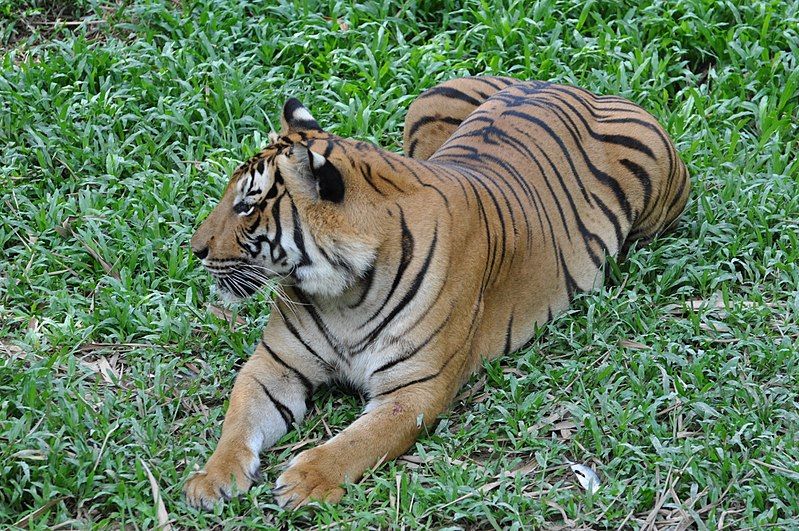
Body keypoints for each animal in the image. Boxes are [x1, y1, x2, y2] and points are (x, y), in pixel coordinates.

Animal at [184, 76, 692, 512]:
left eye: (246, 206)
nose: (195, 249)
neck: (344, 292)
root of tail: (567, 85)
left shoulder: (414, 390)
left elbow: (359, 441)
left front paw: (306, 479)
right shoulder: (274, 364)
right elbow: (239, 419)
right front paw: (211, 479)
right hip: (427, 105)